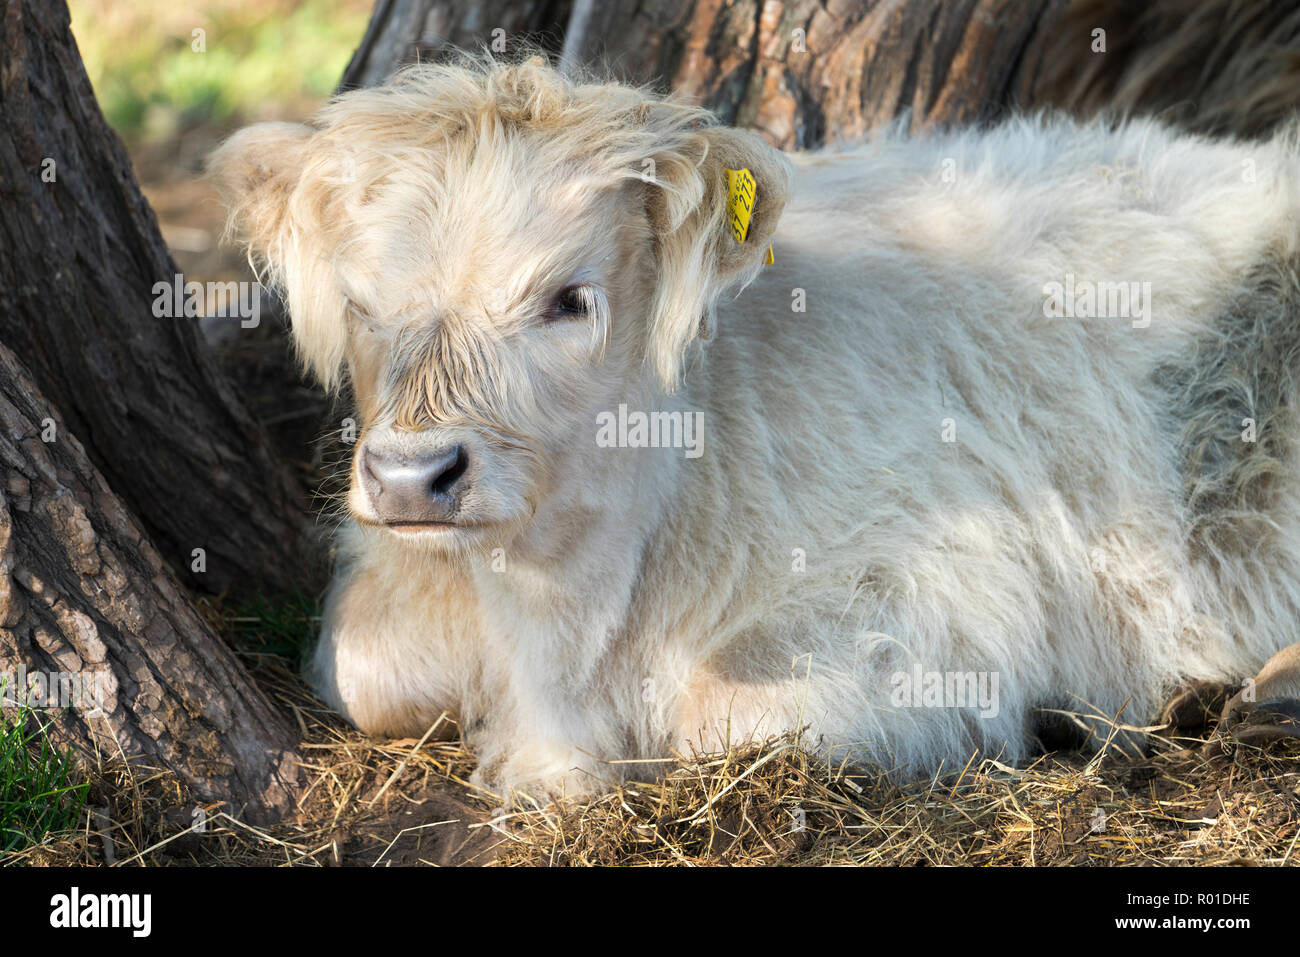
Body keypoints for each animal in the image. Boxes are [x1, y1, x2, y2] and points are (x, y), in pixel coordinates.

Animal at [208, 55, 1300, 795]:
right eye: (358, 304)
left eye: (569, 298)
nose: (411, 476)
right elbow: (363, 664)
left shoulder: (940, 593)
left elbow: (720, 715)